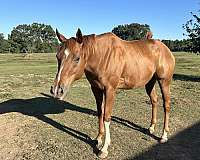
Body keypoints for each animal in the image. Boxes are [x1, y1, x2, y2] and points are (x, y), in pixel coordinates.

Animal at [50, 28, 175, 158]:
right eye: (58, 57)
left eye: (77, 58)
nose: (57, 90)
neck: (101, 56)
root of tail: (165, 48)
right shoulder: (96, 89)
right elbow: (100, 113)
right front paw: (98, 138)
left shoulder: (110, 90)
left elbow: (106, 116)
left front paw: (104, 148)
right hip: (150, 82)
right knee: (154, 101)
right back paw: (151, 127)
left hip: (164, 81)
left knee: (166, 105)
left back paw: (163, 135)